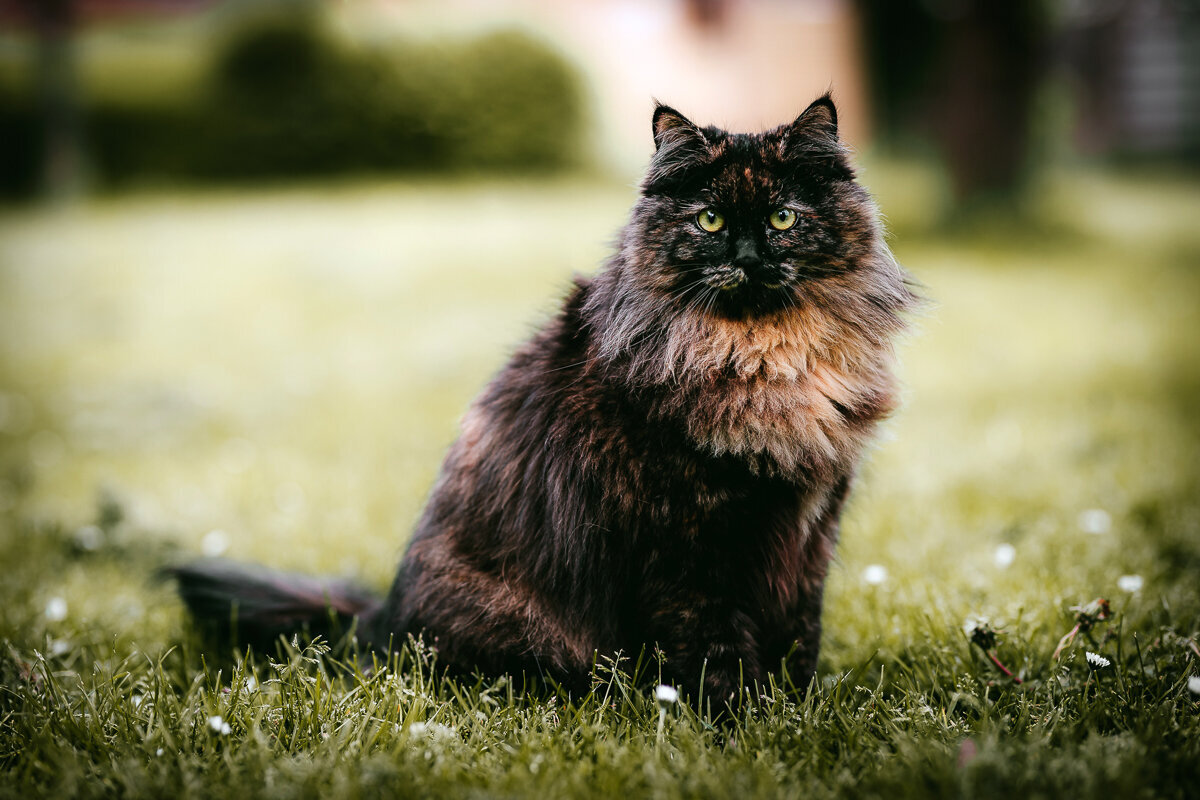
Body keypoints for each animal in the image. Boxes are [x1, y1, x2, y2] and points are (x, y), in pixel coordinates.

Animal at [169, 95, 912, 705]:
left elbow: (800, 634)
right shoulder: (689, 542)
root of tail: (378, 620)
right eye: (709, 220)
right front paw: (746, 720)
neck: (766, 358)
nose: (751, 258)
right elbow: (716, 648)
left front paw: (799, 706)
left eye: (784, 218)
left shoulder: (810, 529)